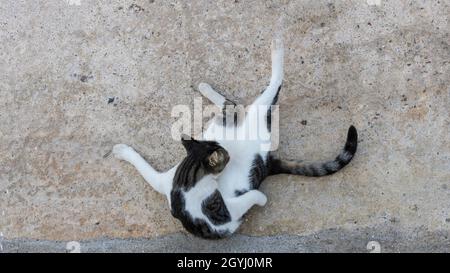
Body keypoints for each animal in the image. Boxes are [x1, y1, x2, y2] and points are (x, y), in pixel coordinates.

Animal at [112, 38, 358, 238]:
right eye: (225, 156)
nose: (229, 152)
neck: (184, 186)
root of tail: (268, 159)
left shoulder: (219, 215)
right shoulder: (217, 216)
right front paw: (122, 151)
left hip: (248, 115)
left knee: (264, 89)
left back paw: (274, 50)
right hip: (244, 118)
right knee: (236, 104)